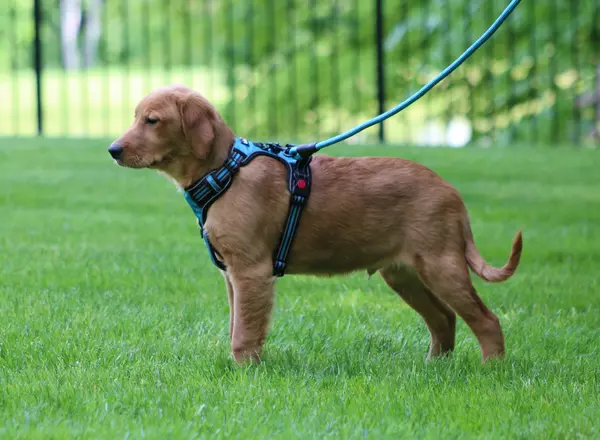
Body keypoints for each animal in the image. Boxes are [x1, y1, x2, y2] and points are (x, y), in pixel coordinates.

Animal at [110, 84, 524, 362]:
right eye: (136, 118)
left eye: (152, 121)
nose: (113, 150)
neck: (225, 170)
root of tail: (453, 195)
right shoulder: (231, 275)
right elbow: (235, 325)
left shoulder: (250, 271)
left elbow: (244, 331)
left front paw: (245, 372)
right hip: (403, 273)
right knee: (444, 318)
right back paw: (434, 366)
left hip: (441, 265)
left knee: (486, 320)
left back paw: (491, 369)